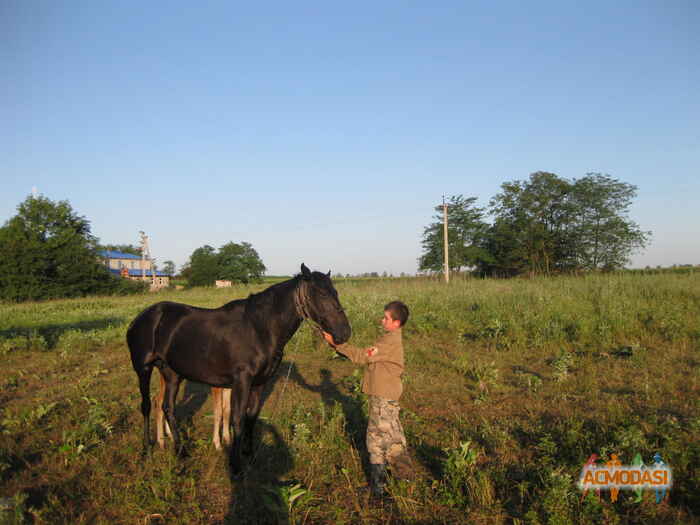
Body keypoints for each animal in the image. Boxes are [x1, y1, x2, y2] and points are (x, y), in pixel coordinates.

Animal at [127, 262, 350, 470]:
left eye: (336, 292)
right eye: (321, 294)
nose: (343, 333)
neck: (259, 328)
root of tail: (142, 317)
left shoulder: (259, 383)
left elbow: (251, 417)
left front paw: (249, 455)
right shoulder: (242, 381)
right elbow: (237, 418)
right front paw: (235, 465)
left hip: (172, 373)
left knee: (167, 408)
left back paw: (181, 452)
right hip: (143, 369)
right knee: (147, 406)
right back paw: (147, 449)